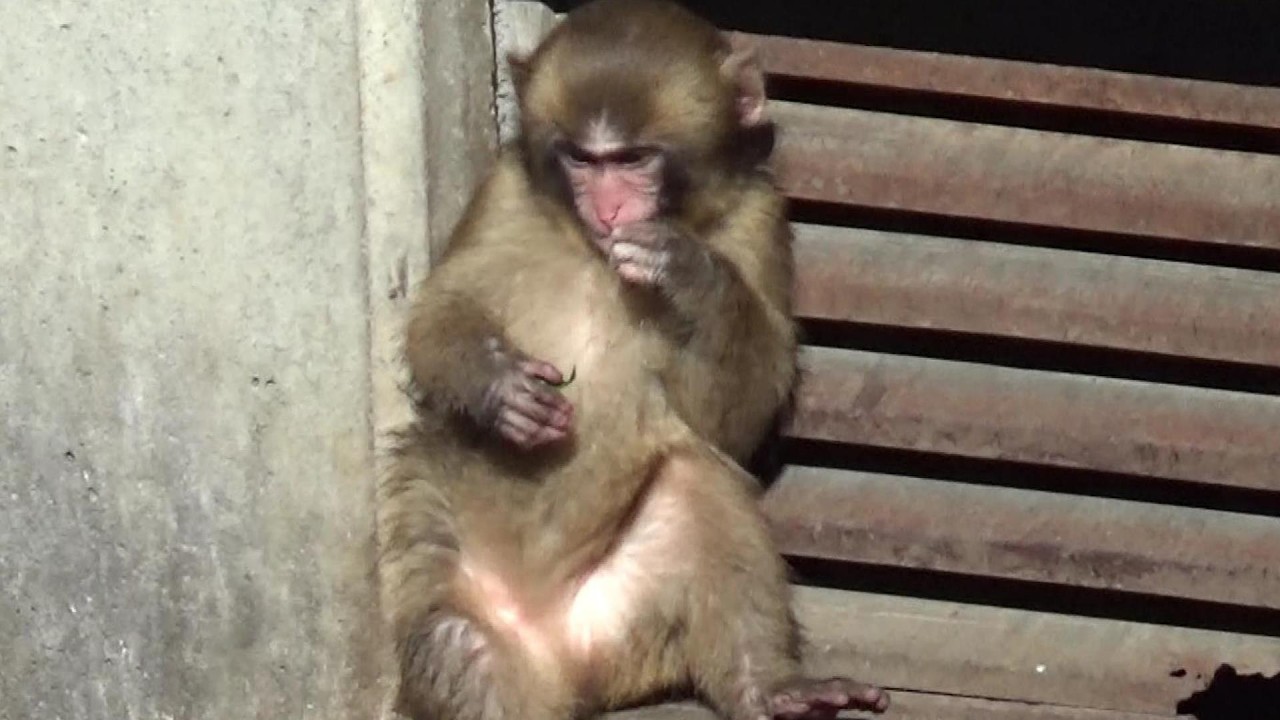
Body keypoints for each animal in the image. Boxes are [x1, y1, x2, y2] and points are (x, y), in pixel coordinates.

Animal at [376, 2, 890, 720]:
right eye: (581, 159)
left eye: (634, 158)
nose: (608, 207)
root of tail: (565, 663)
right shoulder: (504, 192)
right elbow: (441, 310)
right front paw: (498, 388)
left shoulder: (760, 218)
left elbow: (737, 421)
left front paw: (690, 274)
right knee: (459, 645)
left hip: (632, 629)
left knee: (696, 480)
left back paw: (771, 686)